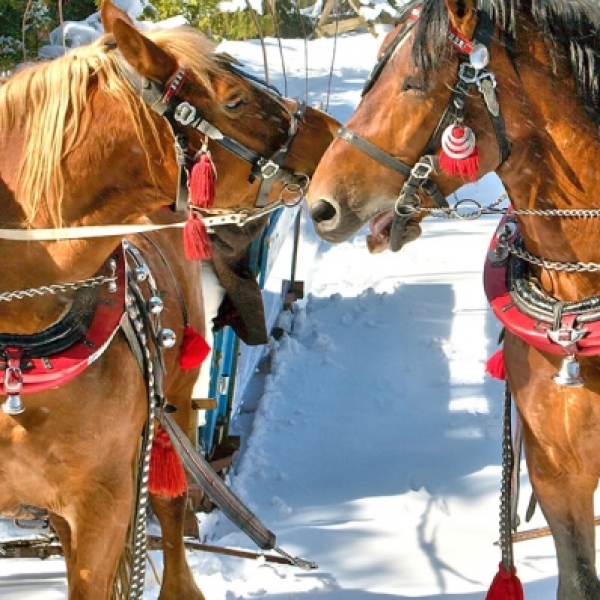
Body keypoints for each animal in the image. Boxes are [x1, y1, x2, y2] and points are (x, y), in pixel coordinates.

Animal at [0, 2, 338, 596]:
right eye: (235, 100)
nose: (337, 131)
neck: (20, 354)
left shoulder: (103, 505)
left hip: (170, 413)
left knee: (172, 511)